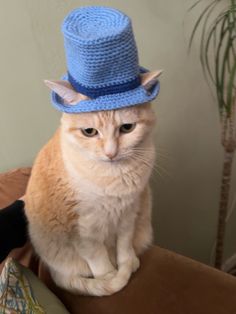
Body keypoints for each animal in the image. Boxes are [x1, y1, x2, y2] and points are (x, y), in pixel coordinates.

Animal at [24, 70, 161, 296]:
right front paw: (110, 276)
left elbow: (124, 245)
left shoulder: (129, 212)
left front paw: (127, 262)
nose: (110, 153)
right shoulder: (81, 230)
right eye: (89, 132)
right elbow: (99, 261)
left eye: (127, 128)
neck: (112, 177)